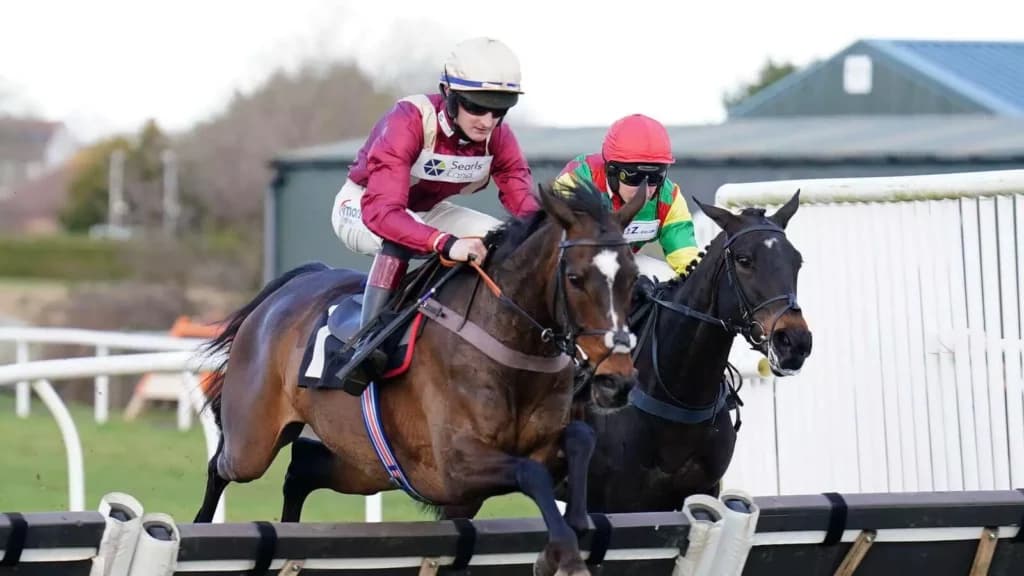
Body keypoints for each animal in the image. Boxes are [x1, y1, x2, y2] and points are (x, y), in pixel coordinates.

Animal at [193, 178, 647, 576]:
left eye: (632, 278)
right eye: (575, 278)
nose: (617, 381)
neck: (512, 347)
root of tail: (293, 284)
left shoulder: (533, 447)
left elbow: (580, 439)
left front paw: (577, 524)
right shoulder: (456, 467)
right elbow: (529, 474)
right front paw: (565, 556)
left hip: (369, 466)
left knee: (301, 467)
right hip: (253, 442)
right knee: (222, 465)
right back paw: (200, 526)